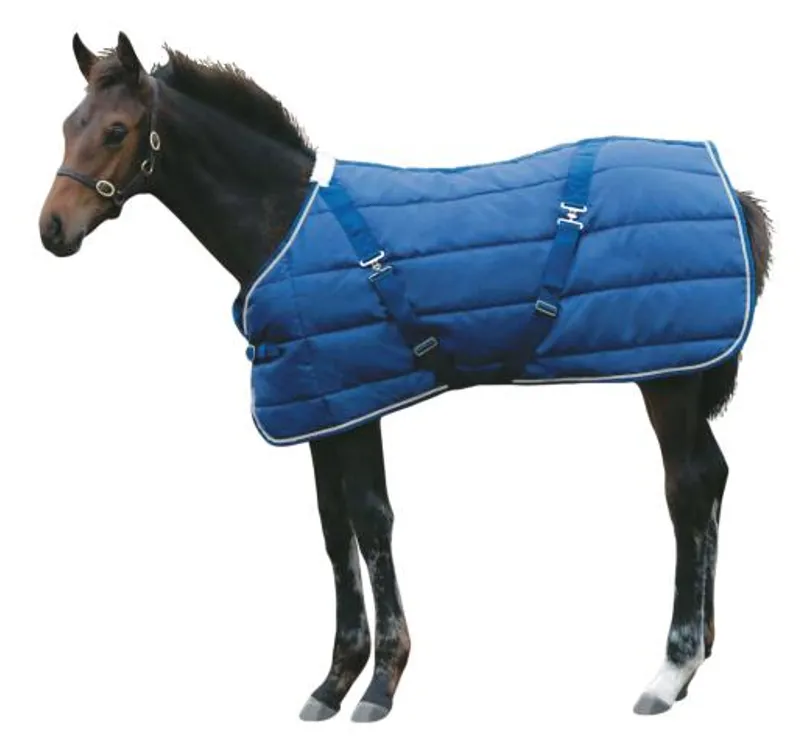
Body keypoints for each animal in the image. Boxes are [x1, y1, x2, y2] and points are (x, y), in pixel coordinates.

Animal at [37, 32, 773, 722]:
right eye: (70, 125)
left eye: (117, 130)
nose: (52, 229)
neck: (281, 227)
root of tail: (734, 194)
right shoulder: (320, 406)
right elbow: (333, 529)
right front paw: (333, 680)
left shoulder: (354, 403)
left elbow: (370, 521)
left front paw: (381, 682)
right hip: (684, 374)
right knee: (712, 477)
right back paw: (700, 656)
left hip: (668, 381)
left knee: (687, 489)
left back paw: (671, 670)